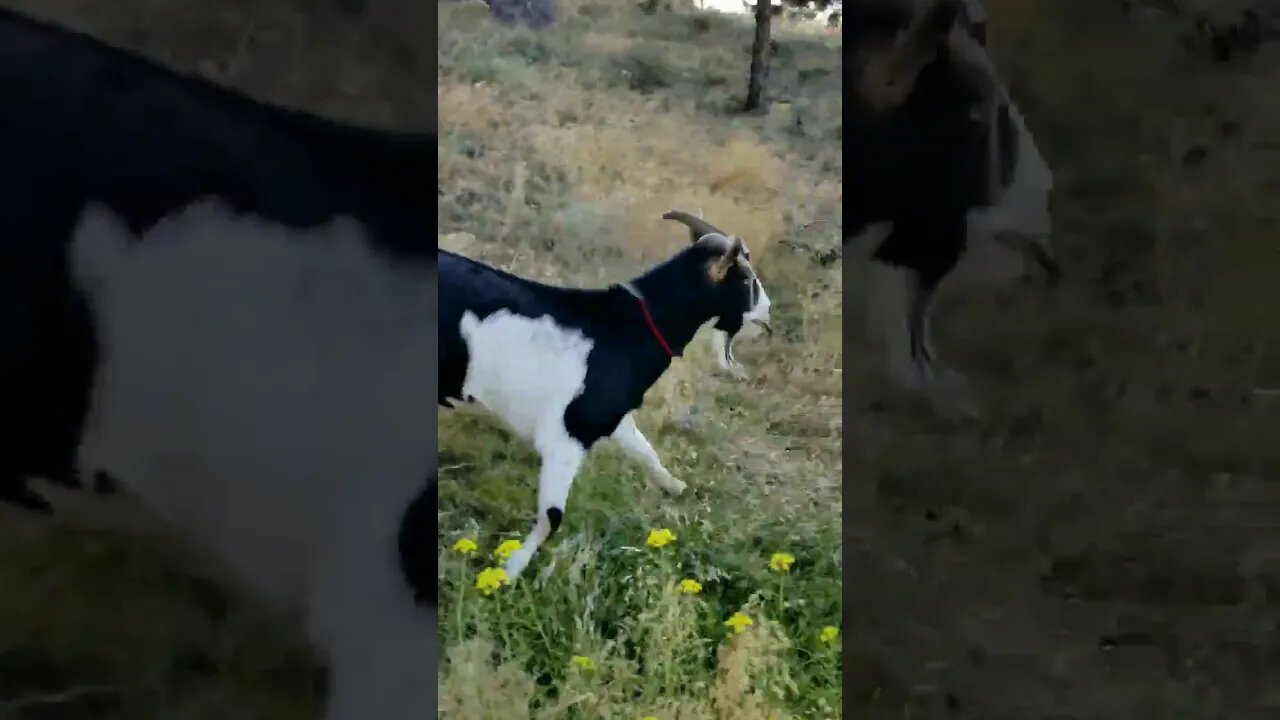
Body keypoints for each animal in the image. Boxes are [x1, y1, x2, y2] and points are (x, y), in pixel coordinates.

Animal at [440, 211, 773, 578]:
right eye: (746, 281)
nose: (767, 315)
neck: (626, 330)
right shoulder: (567, 437)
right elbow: (551, 517)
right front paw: (508, 572)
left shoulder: (612, 419)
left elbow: (644, 450)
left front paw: (675, 486)